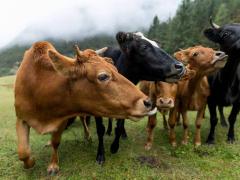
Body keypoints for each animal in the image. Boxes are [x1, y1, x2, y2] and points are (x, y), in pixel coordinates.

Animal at [15, 41, 158, 174]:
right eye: (103, 76)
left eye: (116, 70)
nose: (148, 102)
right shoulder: (21, 118)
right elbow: (23, 152)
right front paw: (31, 162)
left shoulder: (62, 120)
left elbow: (55, 142)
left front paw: (53, 165)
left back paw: (87, 136)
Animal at [94, 31, 185, 164]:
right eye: (144, 47)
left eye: (158, 45)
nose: (179, 66)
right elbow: (100, 129)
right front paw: (100, 155)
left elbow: (119, 126)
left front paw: (115, 147)